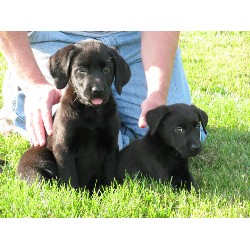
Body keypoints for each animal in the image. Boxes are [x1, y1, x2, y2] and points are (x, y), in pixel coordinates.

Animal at [17, 40, 131, 190]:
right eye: (81, 69)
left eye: (107, 69)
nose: (97, 91)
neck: (91, 113)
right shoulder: (64, 148)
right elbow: (70, 177)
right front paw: (74, 194)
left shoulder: (110, 146)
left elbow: (110, 174)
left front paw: (112, 191)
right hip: (40, 158)